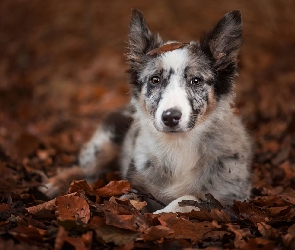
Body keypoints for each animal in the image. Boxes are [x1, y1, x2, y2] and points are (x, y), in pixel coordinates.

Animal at [40, 9, 253, 213]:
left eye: (196, 80)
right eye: (155, 80)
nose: (170, 117)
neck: (178, 145)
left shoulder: (229, 199)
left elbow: (188, 199)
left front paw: (163, 213)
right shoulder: (136, 186)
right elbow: (129, 201)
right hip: (105, 143)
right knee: (84, 169)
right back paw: (54, 185)